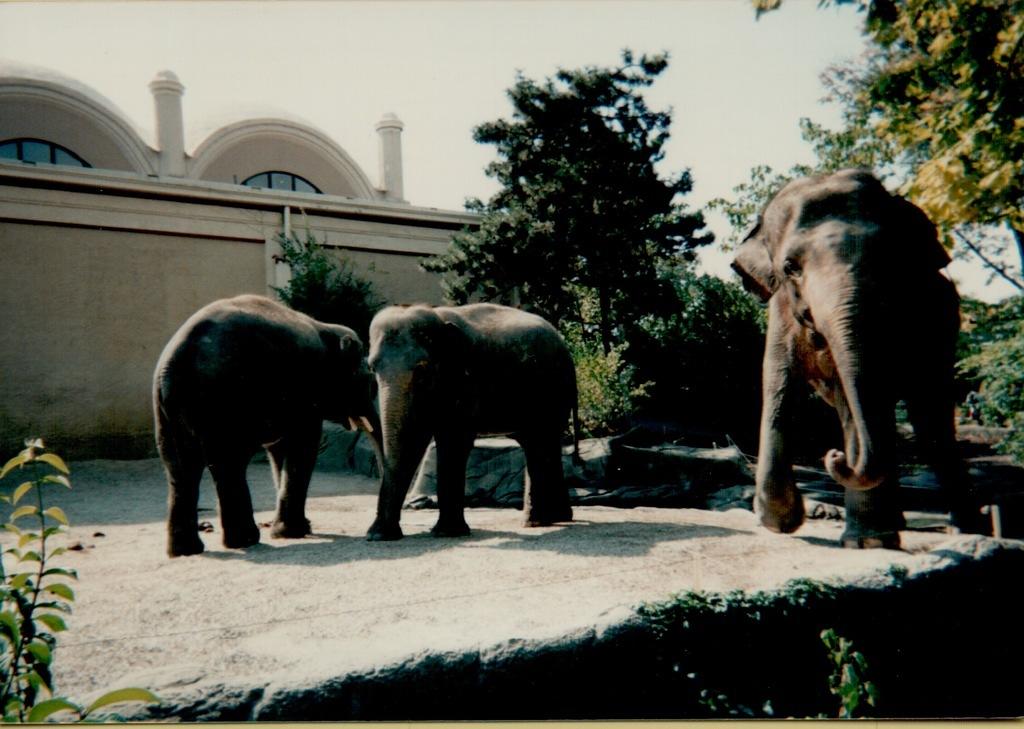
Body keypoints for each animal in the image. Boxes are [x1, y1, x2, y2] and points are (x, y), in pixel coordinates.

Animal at [157, 292, 382, 556]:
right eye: (368, 382)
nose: (371, 533)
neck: (326, 328)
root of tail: (178, 360)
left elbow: (279, 452)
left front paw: (292, 529)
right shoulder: (305, 392)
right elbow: (303, 446)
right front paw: (293, 532)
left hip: (168, 410)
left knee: (181, 468)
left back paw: (186, 550)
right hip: (224, 404)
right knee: (228, 464)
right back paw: (245, 540)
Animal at [366, 301, 577, 540]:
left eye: (422, 368)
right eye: (372, 368)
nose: (377, 535)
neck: (438, 318)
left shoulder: (466, 381)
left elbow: (453, 441)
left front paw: (448, 533)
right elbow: (415, 439)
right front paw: (379, 535)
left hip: (553, 391)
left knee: (542, 442)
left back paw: (539, 522)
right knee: (537, 443)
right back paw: (552, 519)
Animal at [729, 168, 983, 548]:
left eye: (888, 258)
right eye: (790, 267)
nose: (832, 455)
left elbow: (862, 396)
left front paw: (867, 542)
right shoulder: (781, 312)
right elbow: (778, 384)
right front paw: (781, 522)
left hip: (942, 332)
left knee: (930, 422)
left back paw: (963, 530)